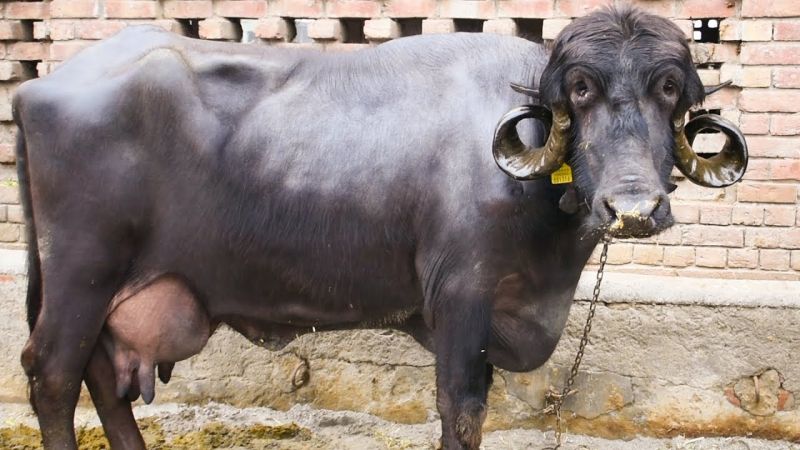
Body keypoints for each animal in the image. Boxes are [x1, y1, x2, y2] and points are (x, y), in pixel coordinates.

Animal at [12, 6, 746, 449]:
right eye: (582, 89)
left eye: (670, 88)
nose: (634, 207)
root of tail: (36, 90)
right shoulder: (460, 297)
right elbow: (461, 408)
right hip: (81, 272)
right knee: (53, 374)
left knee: (102, 379)